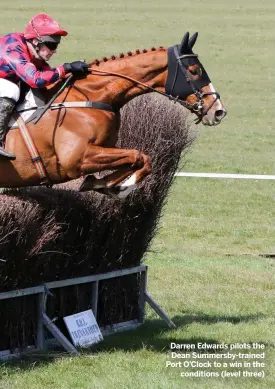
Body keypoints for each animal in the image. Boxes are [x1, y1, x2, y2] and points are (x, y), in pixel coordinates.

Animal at [1, 32, 227, 197]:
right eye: (194, 71)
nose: (218, 111)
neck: (92, 95)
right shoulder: (77, 159)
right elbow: (137, 155)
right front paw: (121, 187)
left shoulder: (105, 148)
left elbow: (141, 159)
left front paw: (103, 184)